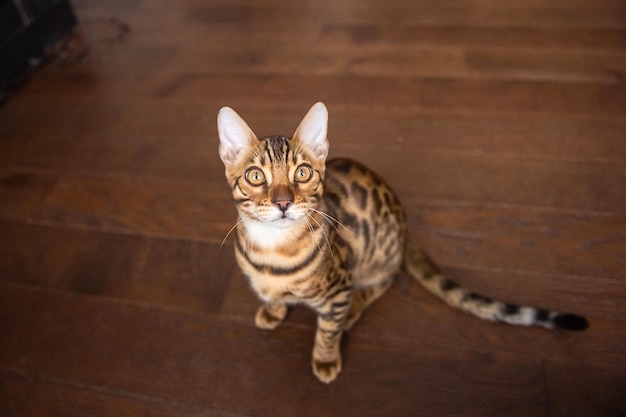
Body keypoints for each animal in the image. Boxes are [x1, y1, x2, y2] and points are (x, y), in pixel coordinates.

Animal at [214, 102, 584, 382]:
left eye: (302, 173)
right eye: (255, 176)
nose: (283, 202)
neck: (271, 249)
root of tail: (405, 231)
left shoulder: (339, 286)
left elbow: (327, 332)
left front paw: (325, 359)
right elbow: (271, 294)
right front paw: (273, 308)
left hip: (375, 256)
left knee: (383, 282)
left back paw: (353, 310)